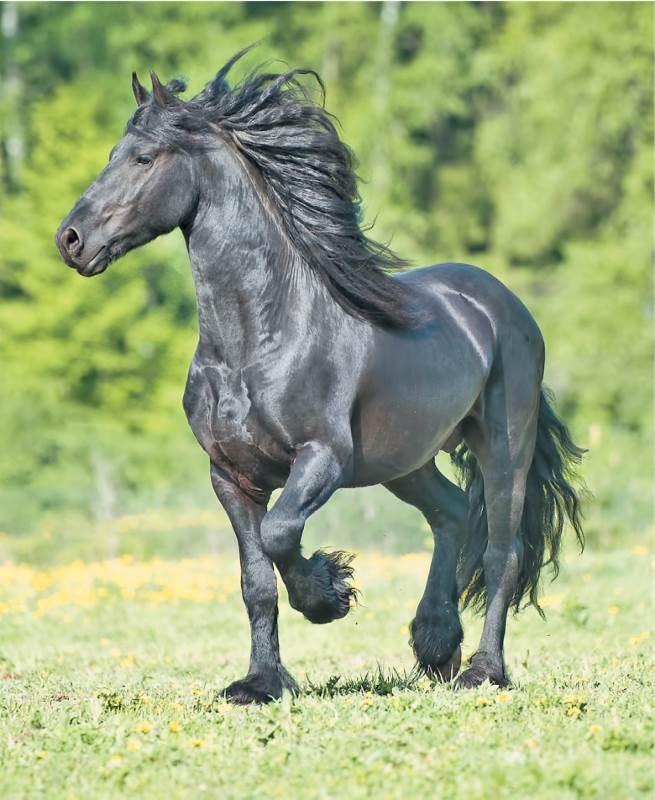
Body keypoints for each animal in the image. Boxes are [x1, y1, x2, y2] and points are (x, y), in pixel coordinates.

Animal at [56, 47, 585, 704]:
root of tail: (503, 303)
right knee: (452, 512)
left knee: (500, 552)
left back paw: (481, 670)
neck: (258, 341)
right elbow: (255, 579)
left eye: (143, 158)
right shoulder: (229, 475)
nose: (71, 240)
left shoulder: (323, 458)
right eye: (113, 153)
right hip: (404, 460)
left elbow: (281, 534)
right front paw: (260, 682)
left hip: (504, 445)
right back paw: (435, 643)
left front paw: (329, 595)